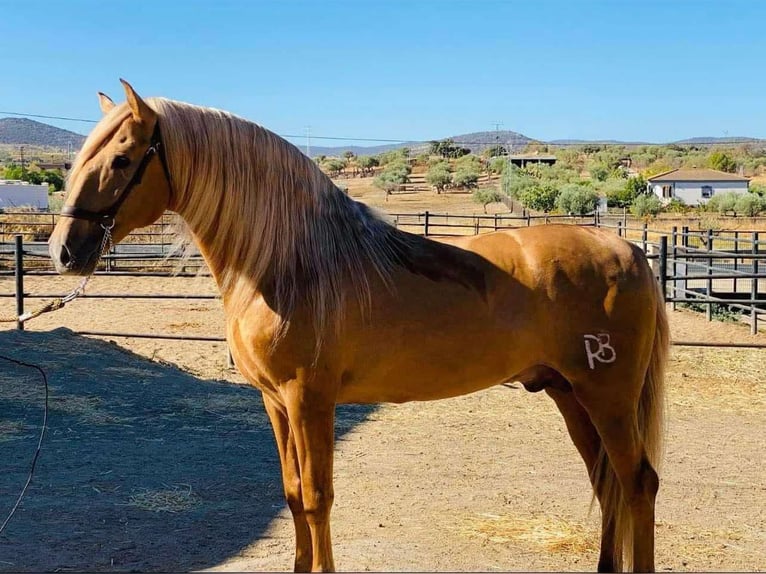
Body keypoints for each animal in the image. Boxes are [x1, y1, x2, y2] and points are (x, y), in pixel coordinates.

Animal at [51, 80, 668, 572]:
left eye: (122, 160)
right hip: (570, 394)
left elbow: (318, 497)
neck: (293, 262)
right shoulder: (275, 403)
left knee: (637, 482)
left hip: (608, 396)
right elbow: (293, 494)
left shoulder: (309, 401)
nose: (63, 252)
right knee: (607, 482)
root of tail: (629, 250)